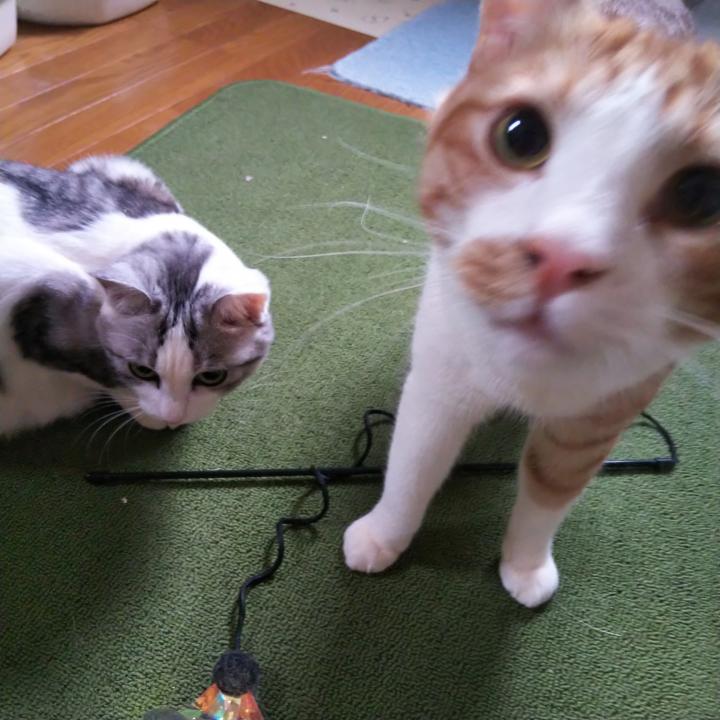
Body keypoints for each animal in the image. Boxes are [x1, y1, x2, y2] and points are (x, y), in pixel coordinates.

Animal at [0, 155, 273, 436]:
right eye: (141, 371)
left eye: (212, 377)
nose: (173, 418)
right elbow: (99, 370)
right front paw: (149, 415)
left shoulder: (117, 167)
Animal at [343, 0, 720, 607]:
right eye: (520, 136)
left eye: (701, 196)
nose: (561, 259)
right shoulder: (440, 383)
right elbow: (412, 467)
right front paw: (385, 534)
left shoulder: (597, 418)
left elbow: (548, 491)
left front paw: (524, 563)